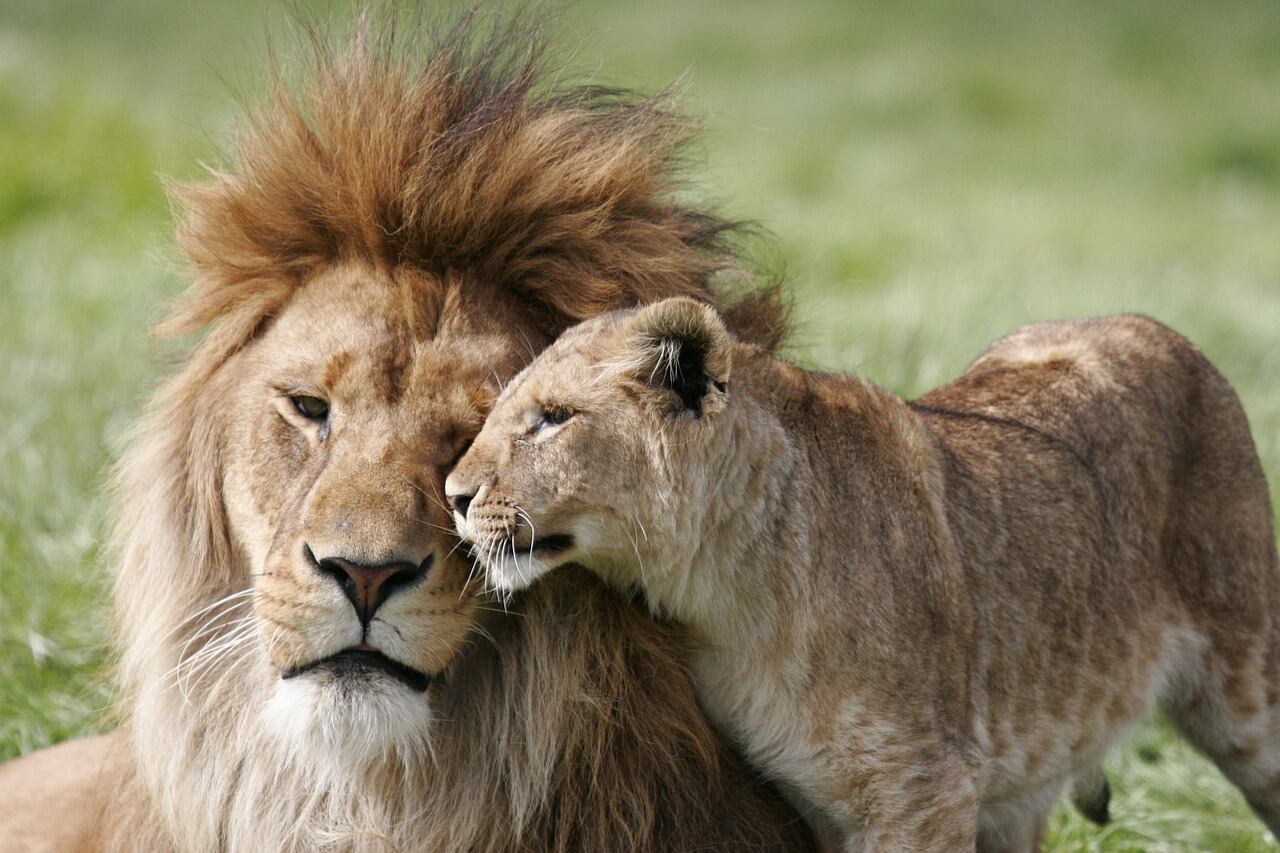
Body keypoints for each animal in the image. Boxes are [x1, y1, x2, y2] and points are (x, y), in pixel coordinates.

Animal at [447, 297, 1280, 852]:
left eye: (554, 418)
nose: (453, 495)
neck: (728, 593)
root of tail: (1144, 324)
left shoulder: (925, 791)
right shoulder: (822, 802)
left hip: (1249, 692)